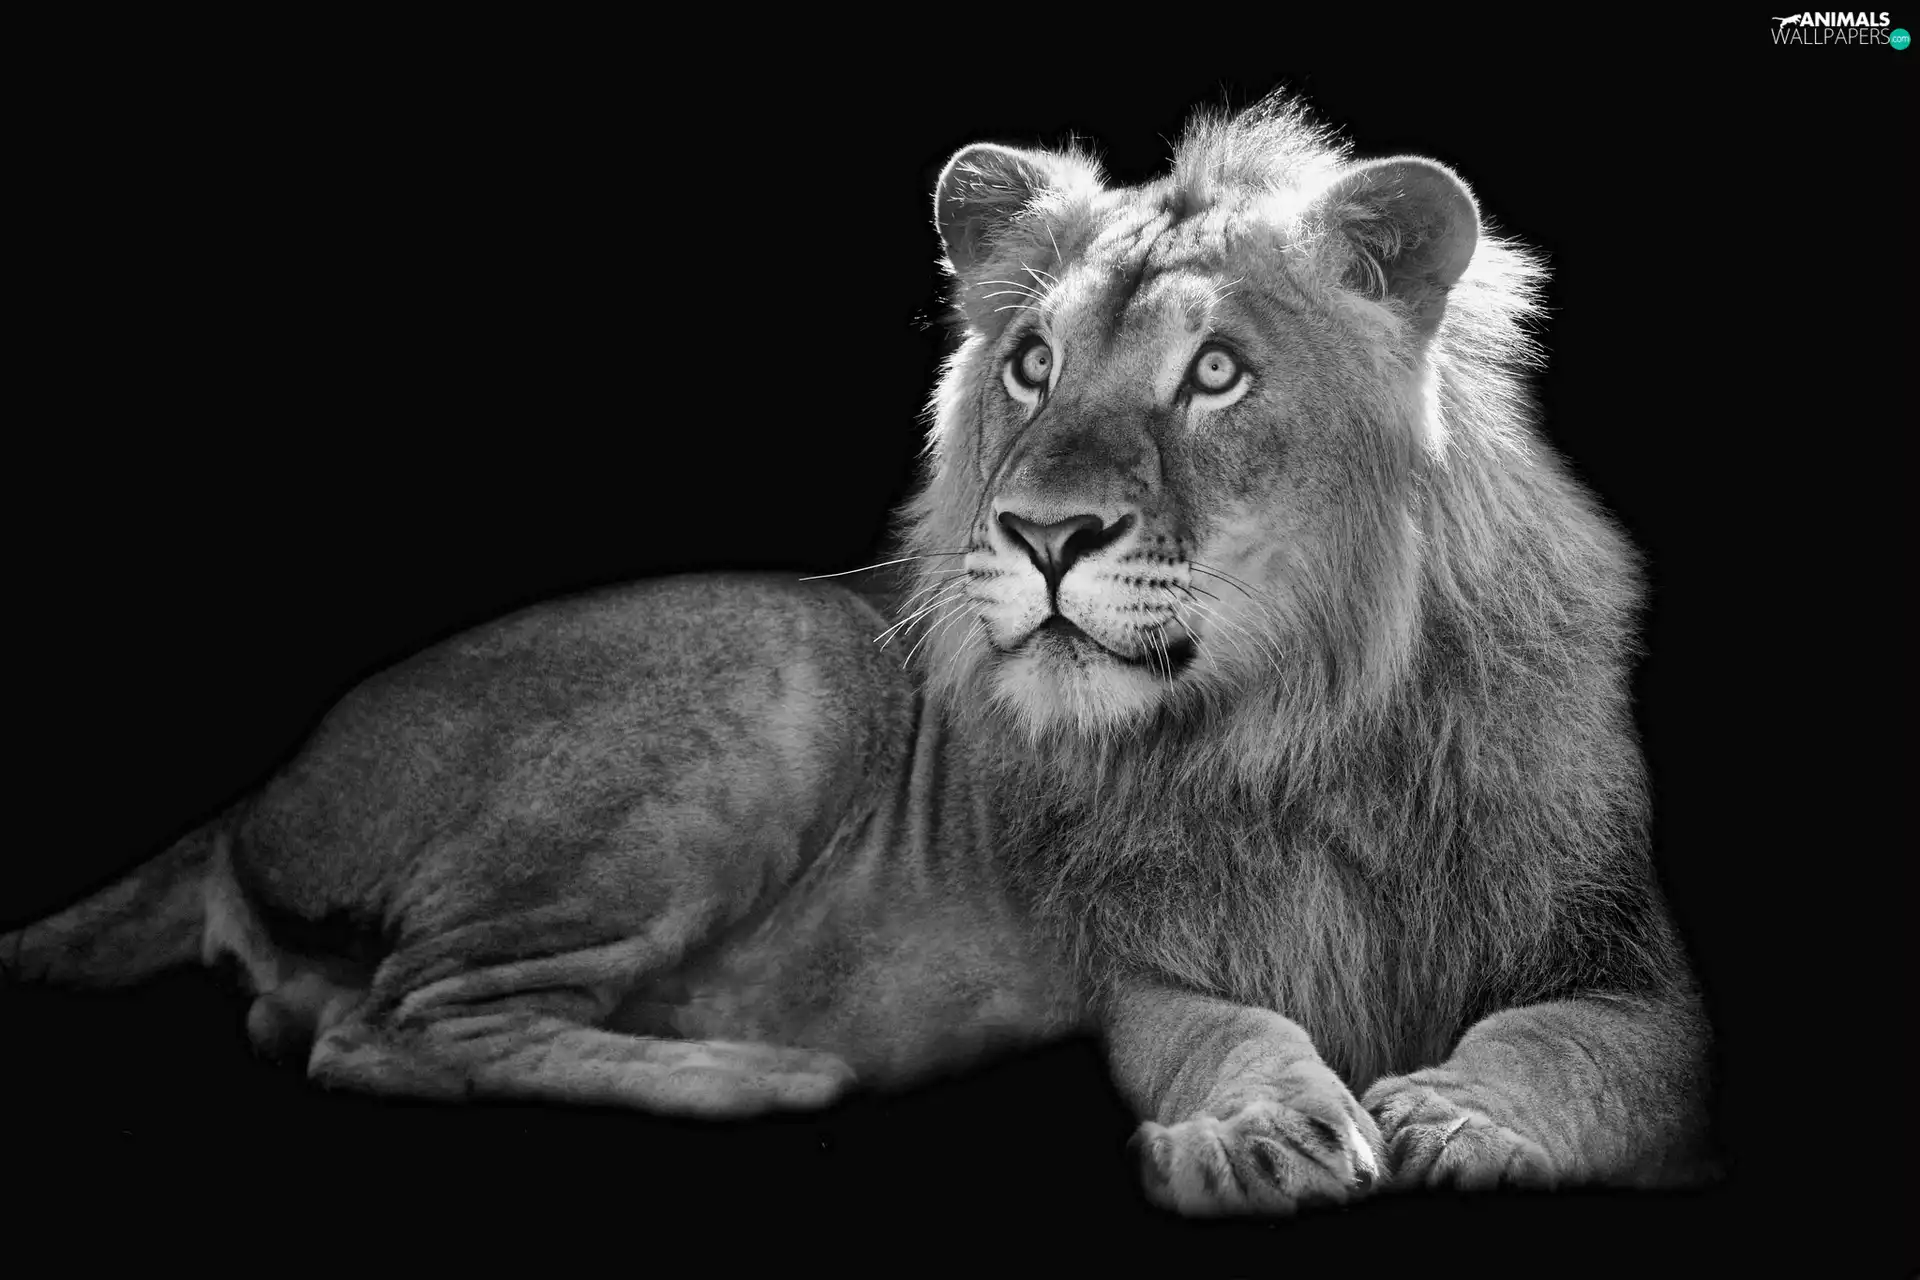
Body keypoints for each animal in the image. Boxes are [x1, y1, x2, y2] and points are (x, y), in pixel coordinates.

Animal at [0, 92, 1709, 1213]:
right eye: (1031, 365)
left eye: (1219, 373)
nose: (1044, 534)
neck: (1311, 721)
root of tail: (259, 787)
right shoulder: (1149, 963)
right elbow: (1228, 1029)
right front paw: (1261, 1131)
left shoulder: (1629, 958)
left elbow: (1575, 1043)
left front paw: (1468, 1118)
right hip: (784, 684)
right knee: (387, 1026)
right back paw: (763, 1075)